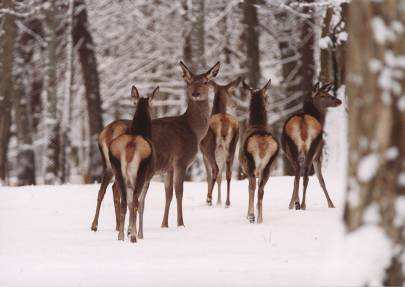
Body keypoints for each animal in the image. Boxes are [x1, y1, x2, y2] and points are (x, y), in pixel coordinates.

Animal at [238, 79, 280, 225]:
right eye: (266, 97)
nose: (269, 102)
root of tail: (262, 143)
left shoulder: (245, 168)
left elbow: (249, 187)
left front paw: (248, 215)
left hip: (251, 163)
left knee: (253, 186)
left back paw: (252, 216)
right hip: (269, 166)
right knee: (261, 189)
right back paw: (260, 219)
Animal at [280, 82, 340, 210]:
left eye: (328, 93)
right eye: (322, 95)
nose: (339, 101)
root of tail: (303, 122)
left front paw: (292, 204)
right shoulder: (317, 155)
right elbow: (321, 180)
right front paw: (331, 204)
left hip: (296, 149)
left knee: (299, 174)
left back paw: (298, 204)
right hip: (313, 147)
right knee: (305, 176)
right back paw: (302, 205)